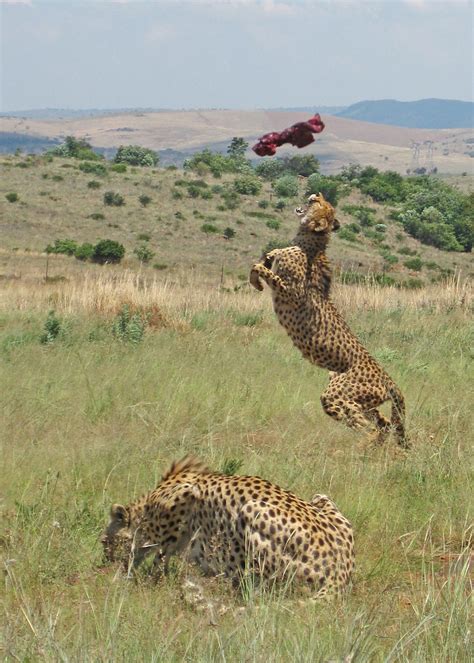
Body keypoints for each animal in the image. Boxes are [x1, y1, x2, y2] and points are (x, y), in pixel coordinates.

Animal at [102, 456, 354, 596]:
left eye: (104, 541)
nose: (105, 562)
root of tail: (341, 571)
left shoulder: (185, 496)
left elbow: (160, 556)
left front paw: (146, 581)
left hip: (252, 510)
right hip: (321, 496)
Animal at [248, 195, 408, 448]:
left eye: (320, 204)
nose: (315, 194)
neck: (308, 239)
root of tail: (387, 377)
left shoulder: (292, 293)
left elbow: (264, 269)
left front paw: (259, 275)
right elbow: (268, 256)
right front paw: (260, 270)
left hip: (337, 395)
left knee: (366, 425)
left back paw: (362, 447)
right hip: (357, 396)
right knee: (383, 422)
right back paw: (374, 448)